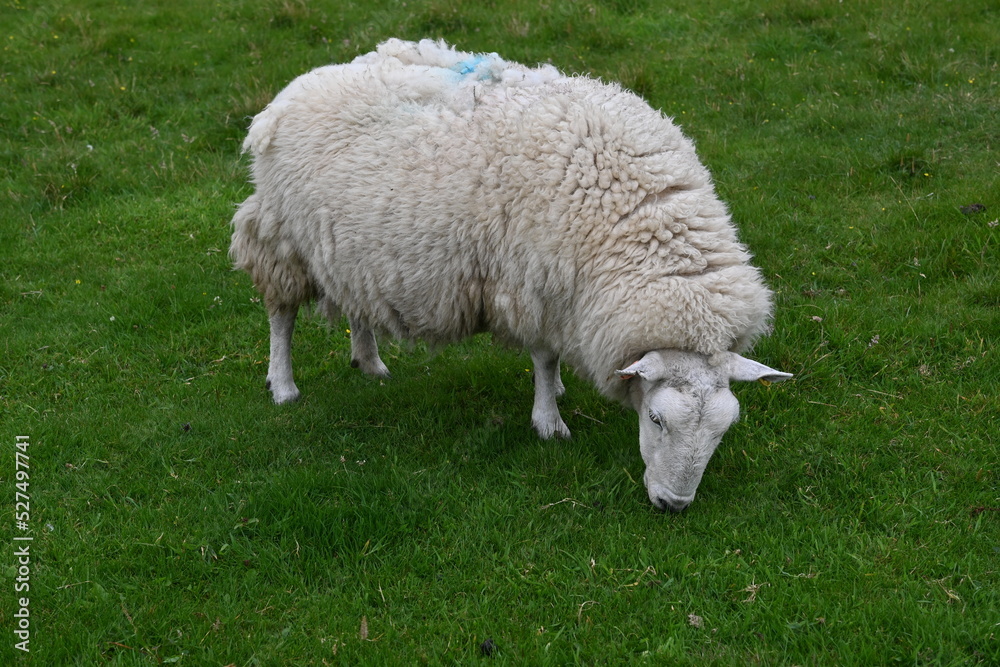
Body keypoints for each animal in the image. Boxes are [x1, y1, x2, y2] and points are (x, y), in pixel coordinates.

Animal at [230, 38, 792, 512]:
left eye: (724, 429)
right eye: (656, 419)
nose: (672, 506)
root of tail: (292, 91)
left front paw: (557, 394)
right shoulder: (534, 283)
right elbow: (543, 357)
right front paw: (549, 421)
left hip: (349, 248)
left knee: (356, 302)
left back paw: (369, 362)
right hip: (282, 238)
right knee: (281, 315)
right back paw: (283, 385)